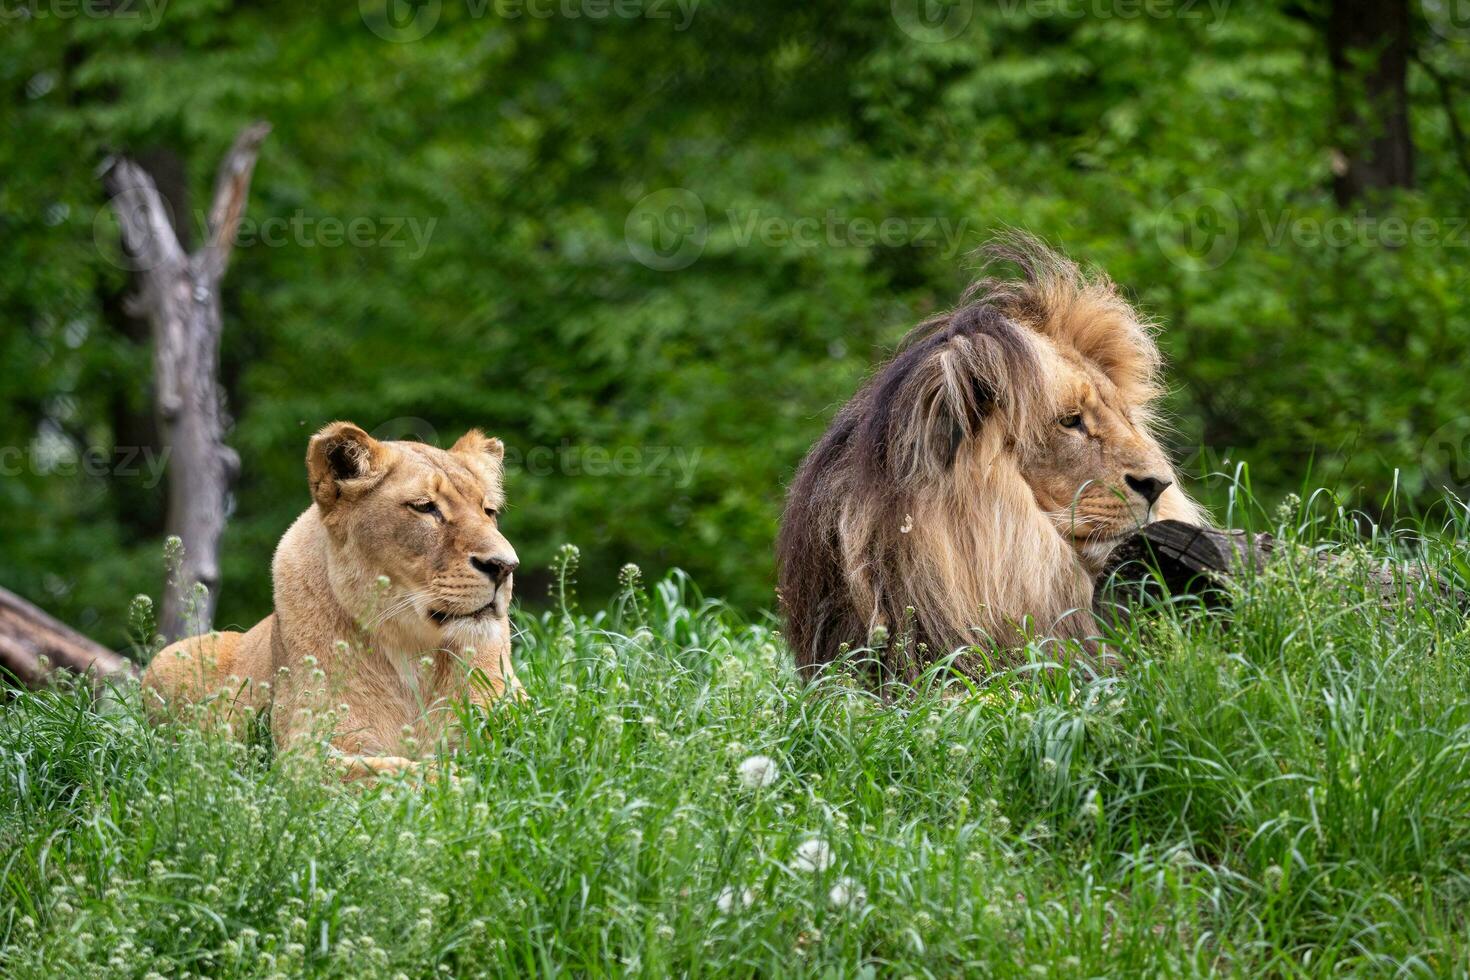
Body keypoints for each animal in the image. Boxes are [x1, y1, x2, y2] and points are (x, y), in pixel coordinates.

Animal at [143, 423, 523, 775]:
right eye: (425, 507)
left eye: (488, 511)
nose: (505, 566)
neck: (414, 653)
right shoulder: (304, 755)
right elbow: (398, 772)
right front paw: (456, 781)